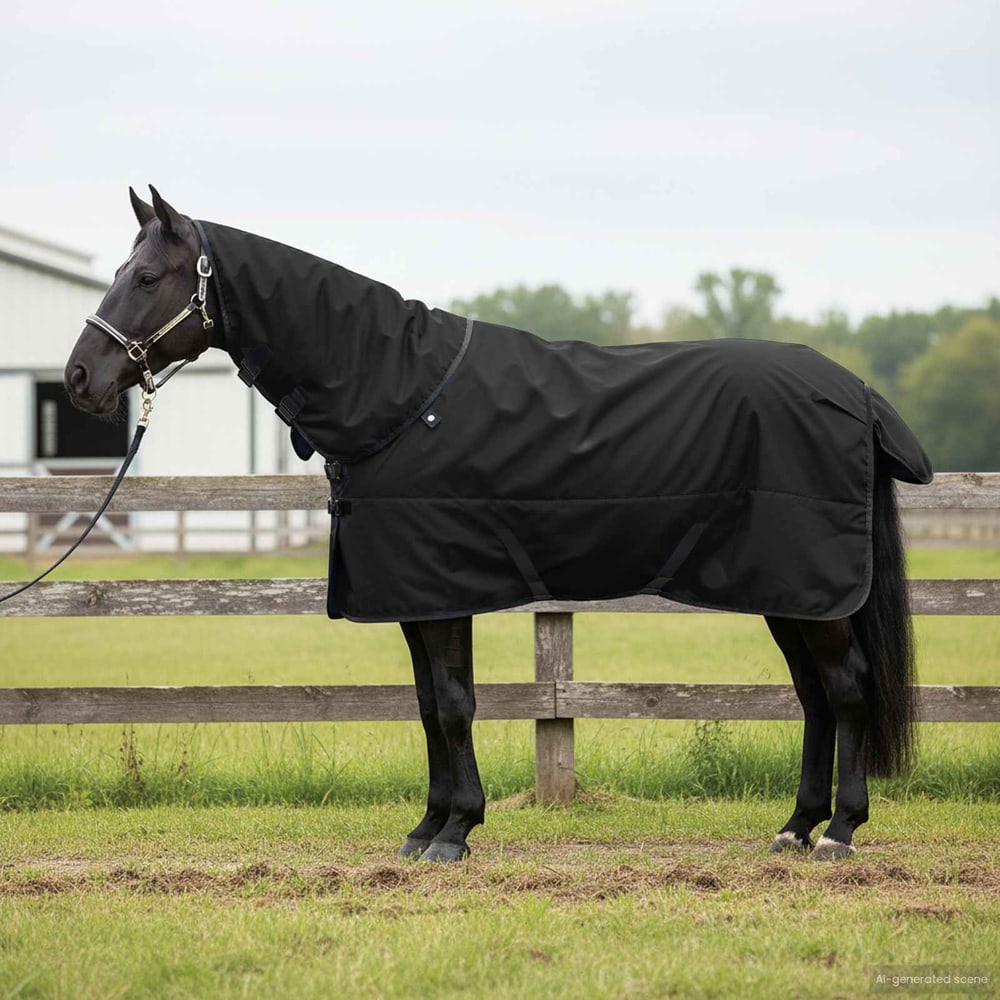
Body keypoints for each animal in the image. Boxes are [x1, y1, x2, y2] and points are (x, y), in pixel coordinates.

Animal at [64, 186, 932, 862]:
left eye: (146, 276)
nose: (79, 378)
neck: (398, 393)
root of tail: (854, 390)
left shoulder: (442, 588)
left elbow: (453, 703)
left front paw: (455, 833)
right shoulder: (414, 596)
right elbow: (426, 704)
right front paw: (426, 828)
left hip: (809, 587)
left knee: (845, 688)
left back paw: (839, 832)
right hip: (790, 592)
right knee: (815, 696)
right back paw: (794, 827)